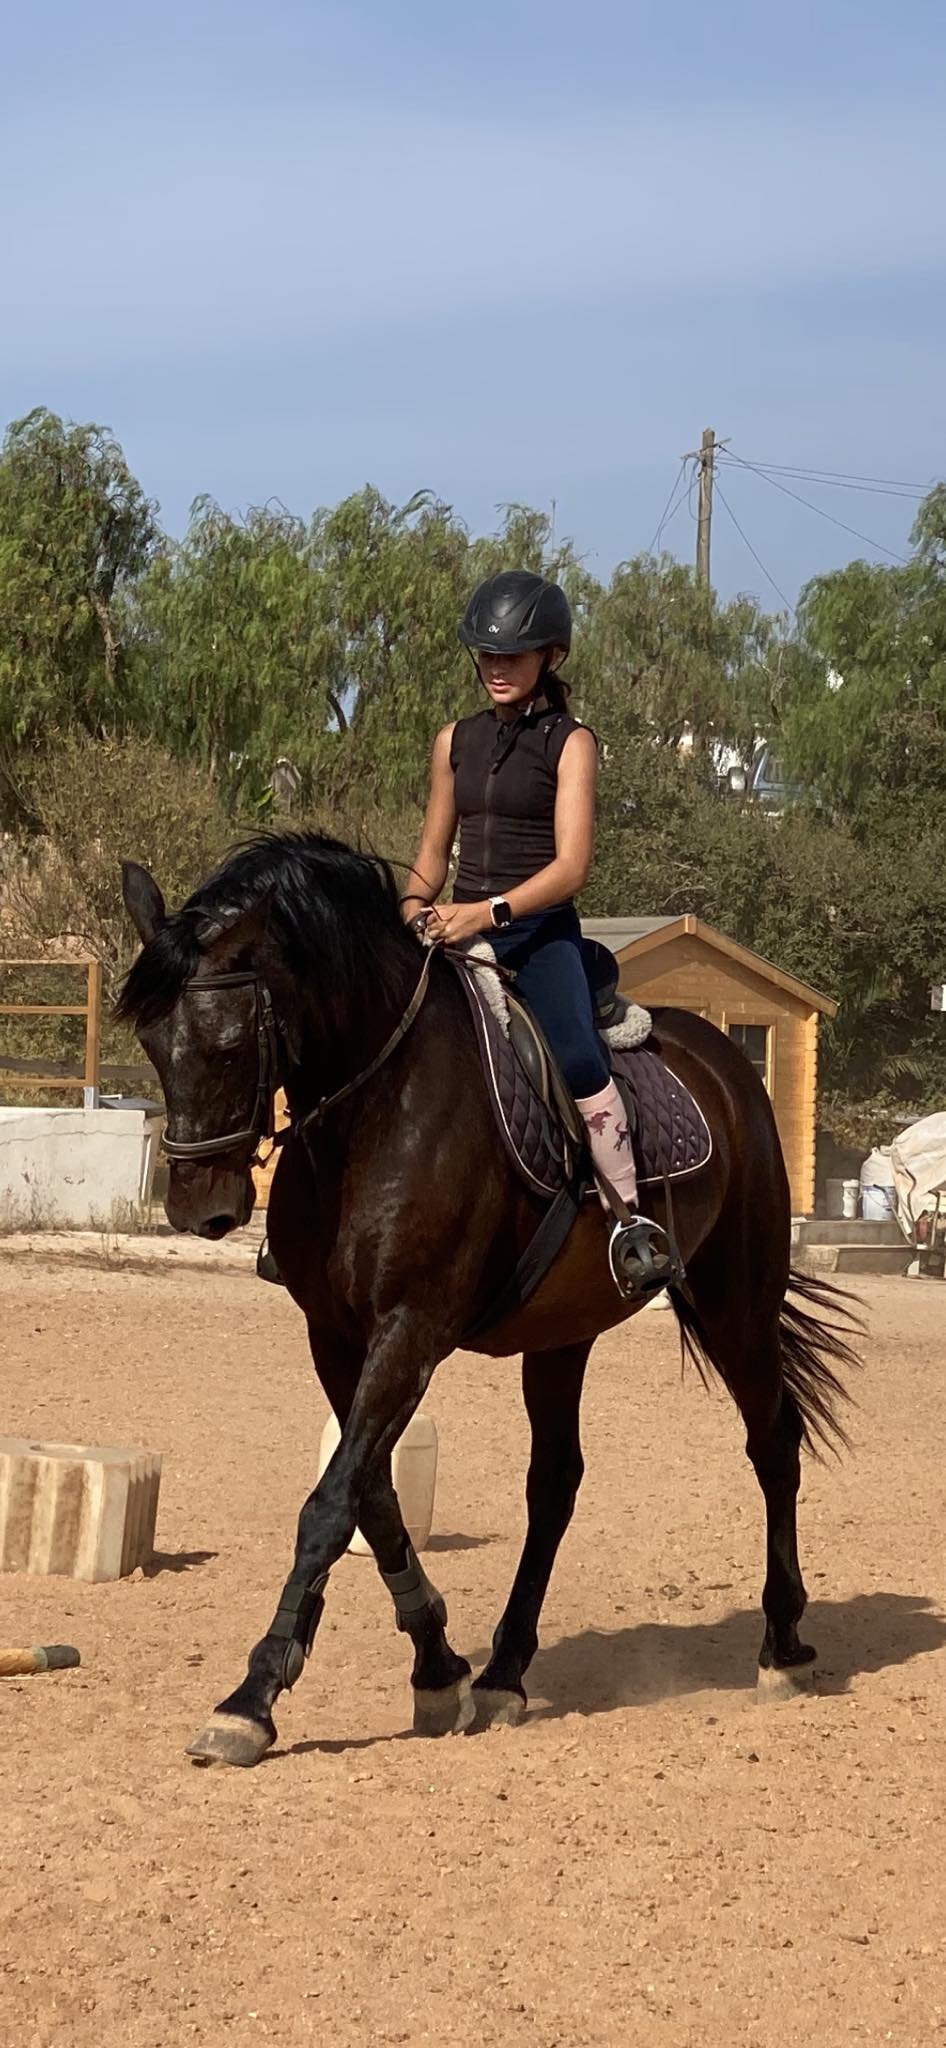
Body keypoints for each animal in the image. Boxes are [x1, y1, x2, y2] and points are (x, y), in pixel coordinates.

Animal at [117, 830, 859, 1769]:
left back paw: (782, 1646)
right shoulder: (337, 1337)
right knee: (556, 1482)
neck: (377, 1107)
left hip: (736, 1303)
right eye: (151, 1041)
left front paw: (250, 1699)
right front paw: (438, 1668)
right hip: (564, 1332)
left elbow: (328, 1506)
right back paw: (507, 1669)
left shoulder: (411, 1329)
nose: (198, 1210)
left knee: (773, 1443)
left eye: (221, 1044)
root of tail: (724, 1058)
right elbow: (371, 1496)